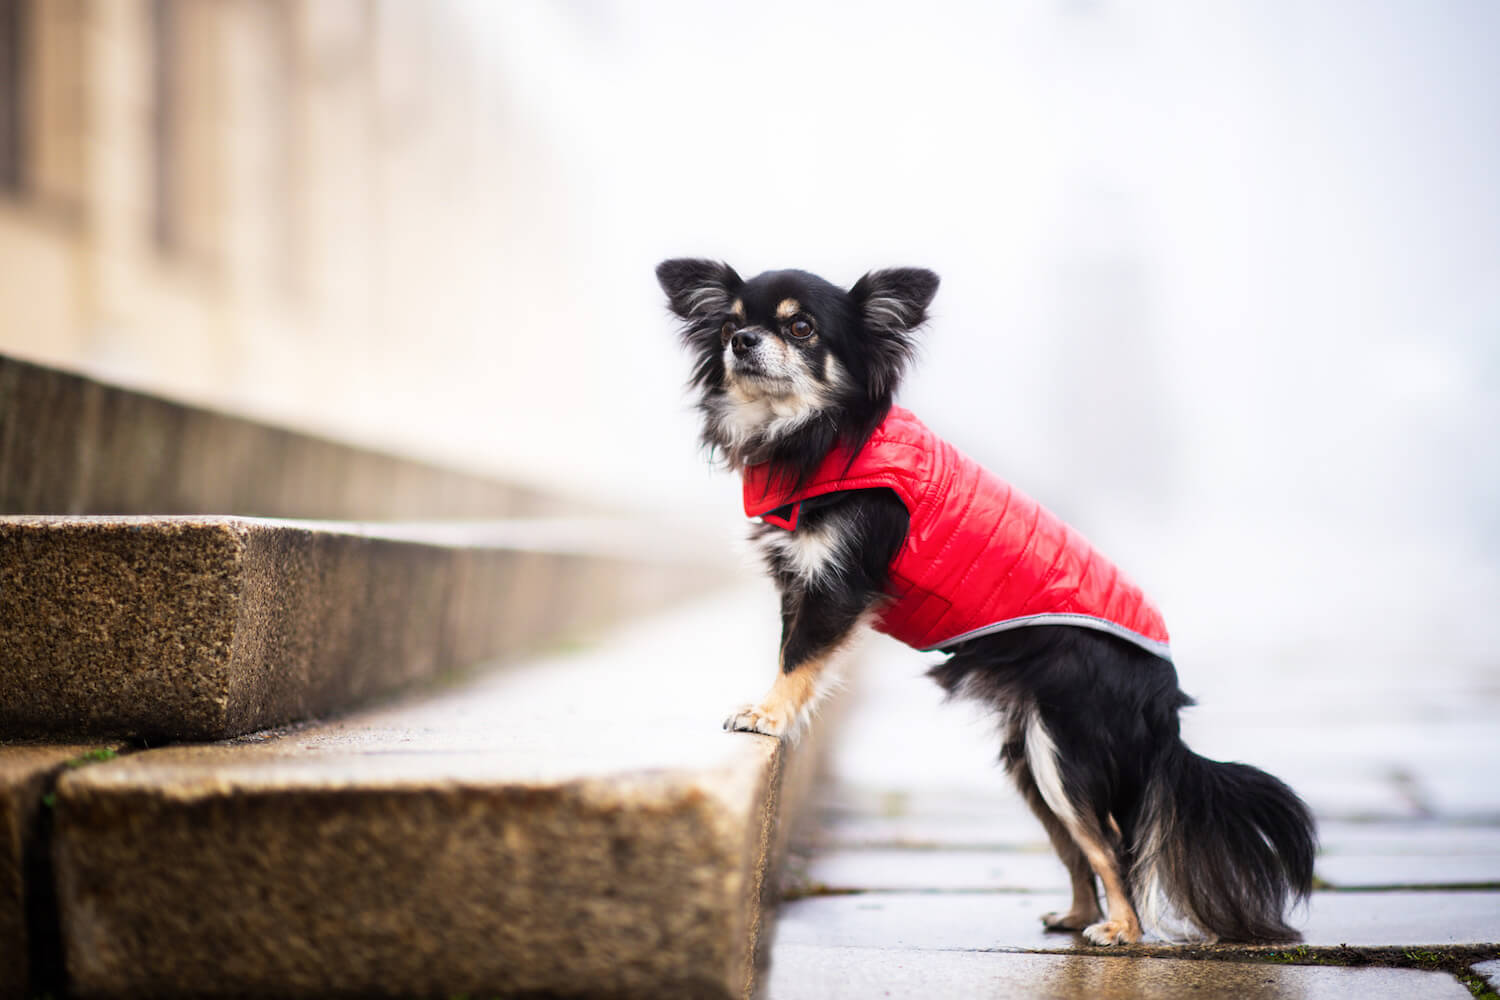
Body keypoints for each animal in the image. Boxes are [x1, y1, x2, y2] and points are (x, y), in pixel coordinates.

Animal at [657, 260, 1314, 947]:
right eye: (729, 325)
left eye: (801, 327)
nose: (741, 342)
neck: (813, 436)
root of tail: (1165, 694)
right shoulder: (800, 581)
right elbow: (790, 650)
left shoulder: (838, 585)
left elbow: (799, 659)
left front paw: (766, 714)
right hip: (1031, 760)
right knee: (1078, 848)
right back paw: (1075, 915)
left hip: (1065, 754)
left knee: (1111, 846)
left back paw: (1120, 930)